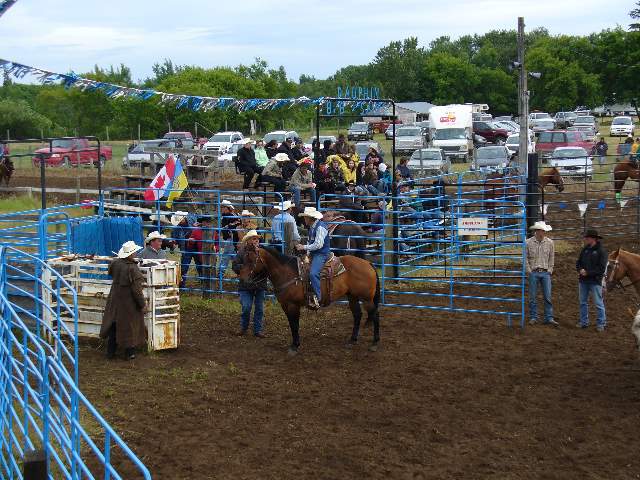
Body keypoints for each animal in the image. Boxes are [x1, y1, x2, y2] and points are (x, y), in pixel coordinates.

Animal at [239, 246, 380, 354]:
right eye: (243, 259)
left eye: (251, 260)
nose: (242, 279)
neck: (287, 273)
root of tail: (368, 263)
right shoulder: (285, 305)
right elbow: (291, 324)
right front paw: (294, 344)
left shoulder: (293, 305)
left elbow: (295, 325)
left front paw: (295, 346)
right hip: (352, 296)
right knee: (357, 315)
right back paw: (352, 340)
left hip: (366, 298)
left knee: (375, 314)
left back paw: (375, 343)